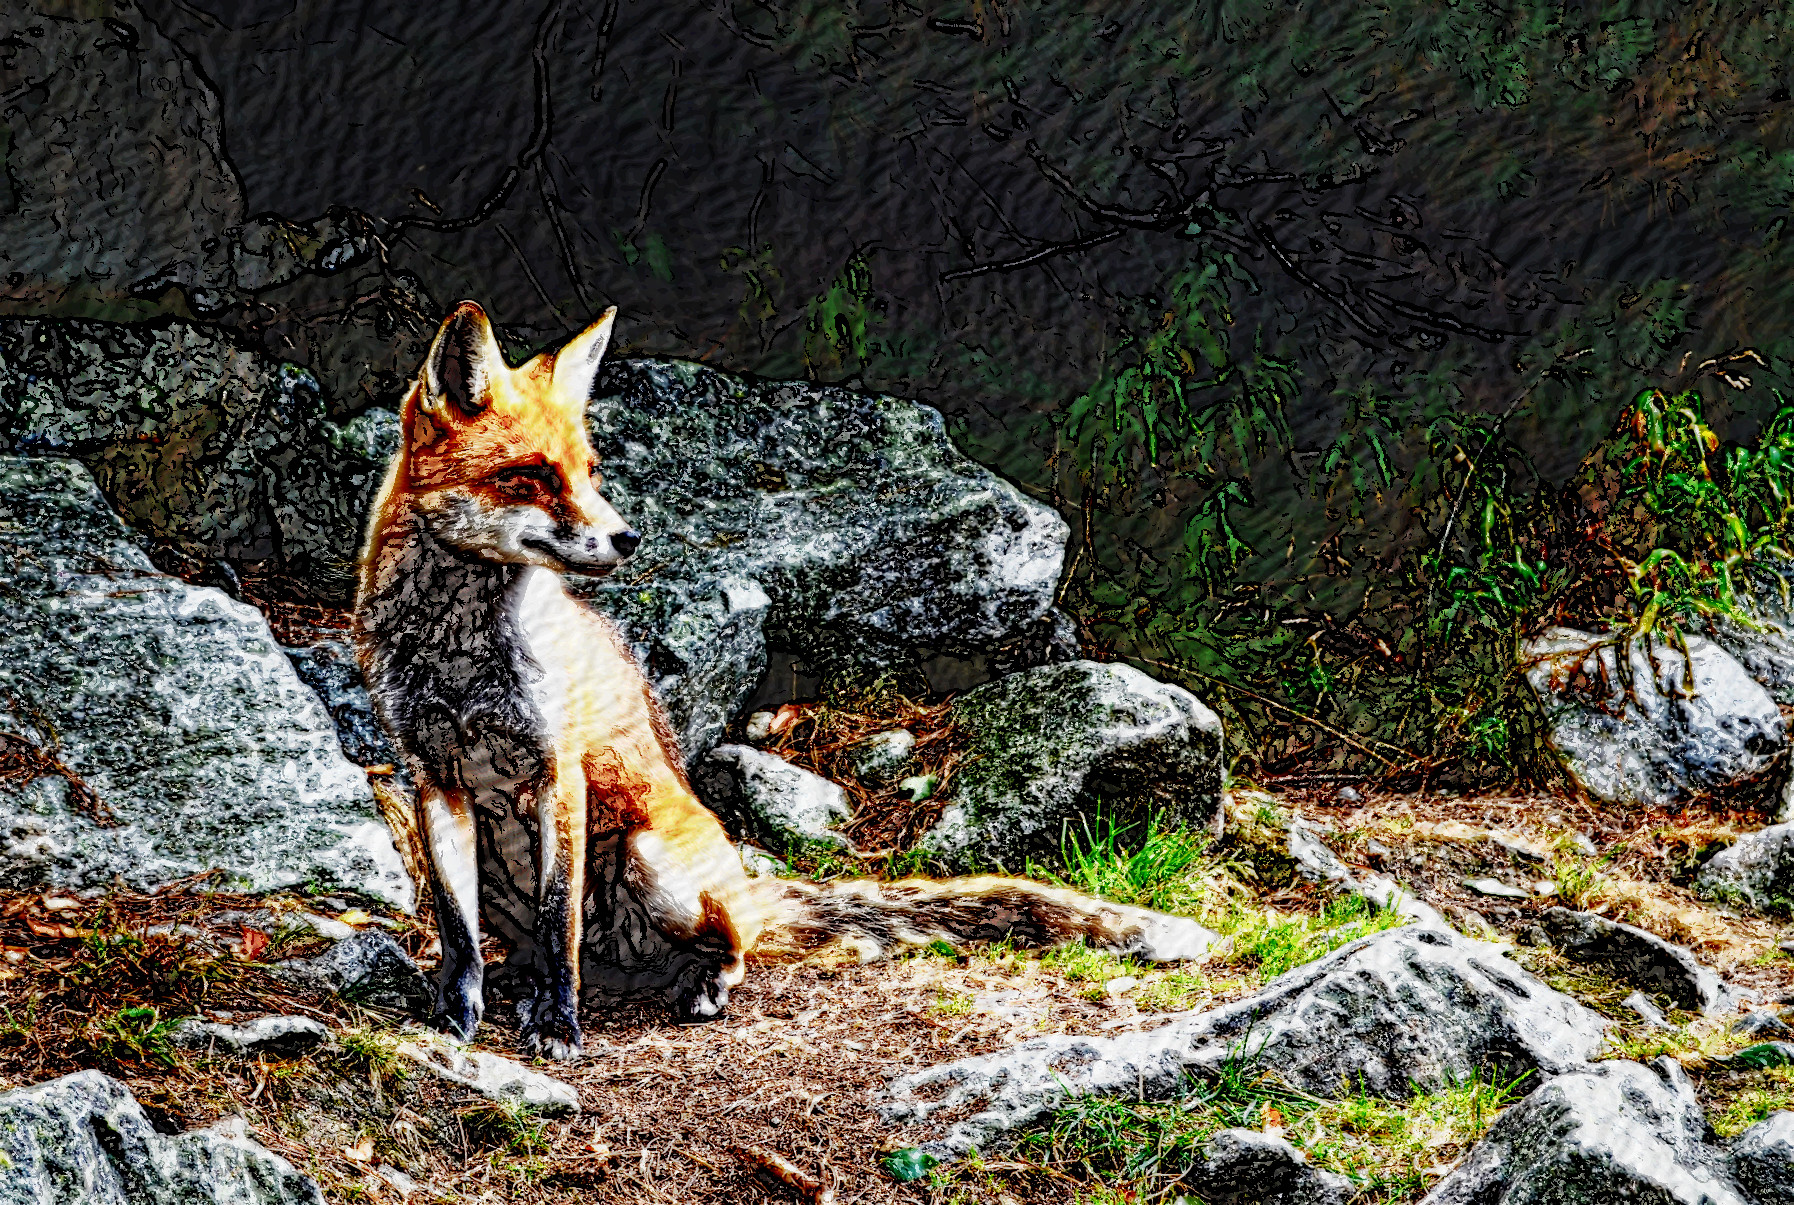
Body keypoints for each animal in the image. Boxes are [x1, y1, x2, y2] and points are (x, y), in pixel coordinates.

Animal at [354, 301, 1217, 1060]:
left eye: (591, 471)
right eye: (529, 476)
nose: (628, 537)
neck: (457, 655)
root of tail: (743, 882)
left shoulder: (556, 771)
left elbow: (558, 918)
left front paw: (559, 1028)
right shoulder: (433, 777)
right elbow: (458, 933)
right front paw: (455, 1015)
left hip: (651, 855)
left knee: (718, 943)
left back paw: (699, 981)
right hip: (519, 883)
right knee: (552, 944)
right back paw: (530, 980)